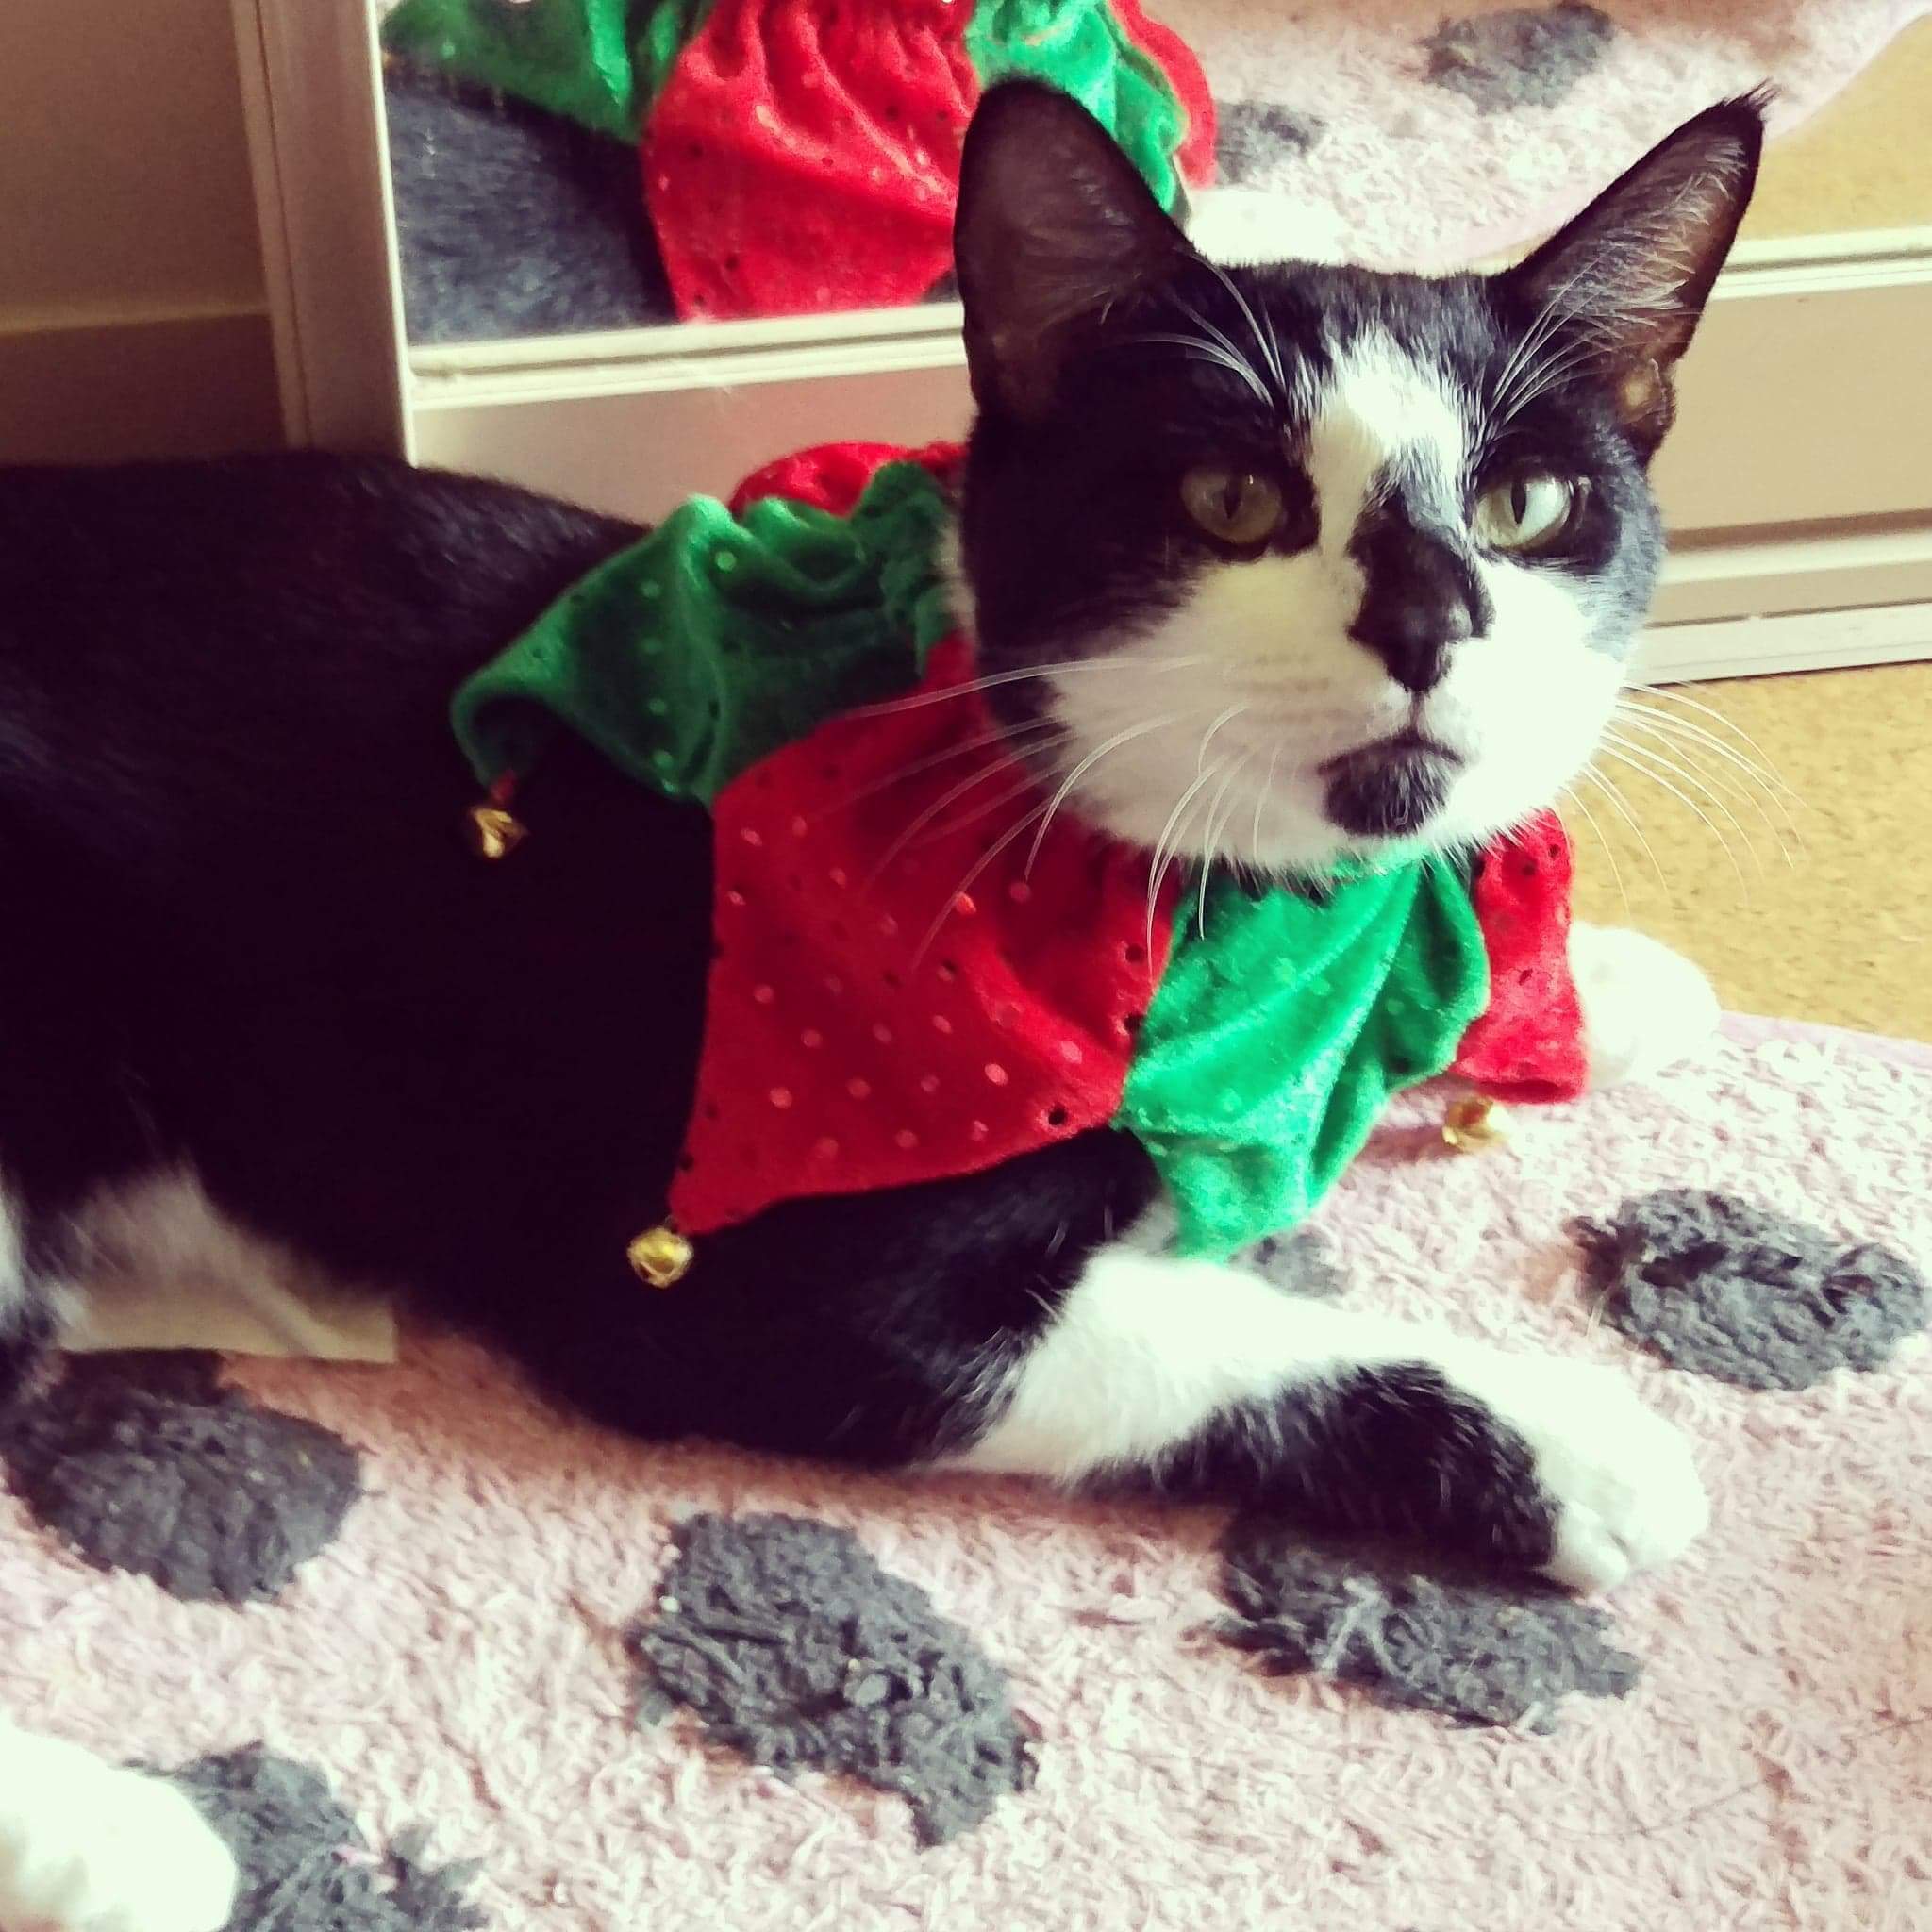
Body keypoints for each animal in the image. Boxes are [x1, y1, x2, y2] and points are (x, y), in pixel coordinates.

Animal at [0, 79, 1759, 1930]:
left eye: (1525, 504)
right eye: (1227, 499)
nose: (1431, 621)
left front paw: (1596, 984)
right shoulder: (723, 1266)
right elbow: (1183, 1339)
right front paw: (1573, 1438)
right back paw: (121, 1840)